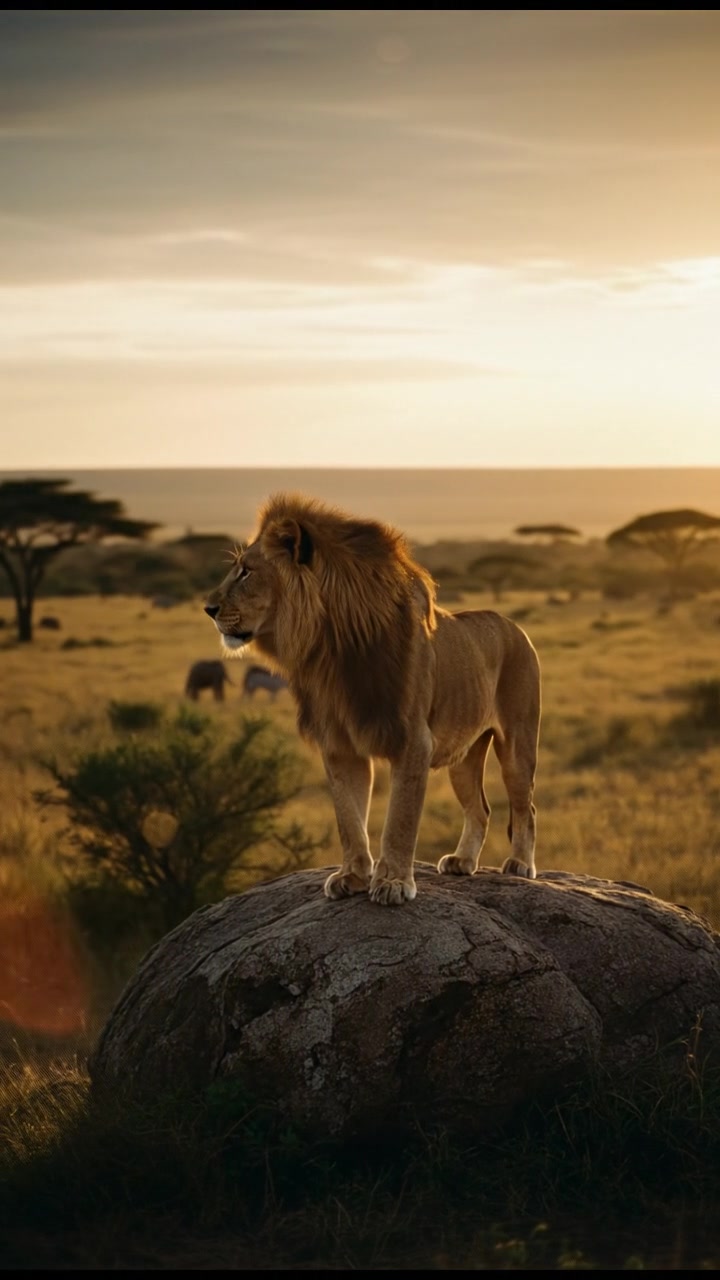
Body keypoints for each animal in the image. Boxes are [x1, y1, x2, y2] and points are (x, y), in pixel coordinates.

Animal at [204, 492, 541, 906]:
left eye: (246, 572)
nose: (208, 608)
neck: (329, 650)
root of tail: (514, 626)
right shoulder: (338, 744)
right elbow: (348, 818)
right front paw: (352, 876)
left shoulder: (413, 741)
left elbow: (399, 819)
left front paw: (393, 882)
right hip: (463, 756)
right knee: (480, 808)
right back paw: (462, 861)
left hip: (517, 743)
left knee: (525, 807)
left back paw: (521, 865)